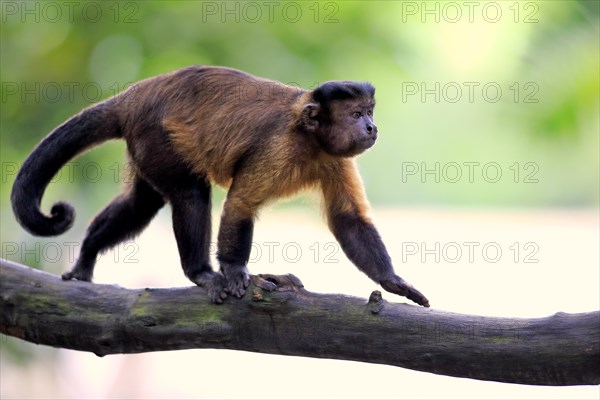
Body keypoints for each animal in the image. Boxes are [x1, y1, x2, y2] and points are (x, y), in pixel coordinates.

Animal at [10, 67, 432, 308]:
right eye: (357, 114)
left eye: (370, 113)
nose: (371, 127)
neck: (310, 139)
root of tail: (136, 94)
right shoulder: (277, 146)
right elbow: (241, 204)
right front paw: (234, 269)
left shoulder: (335, 158)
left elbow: (349, 220)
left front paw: (393, 282)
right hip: (157, 135)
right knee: (189, 194)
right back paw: (200, 272)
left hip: (144, 145)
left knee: (141, 203)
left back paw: (86, 256)